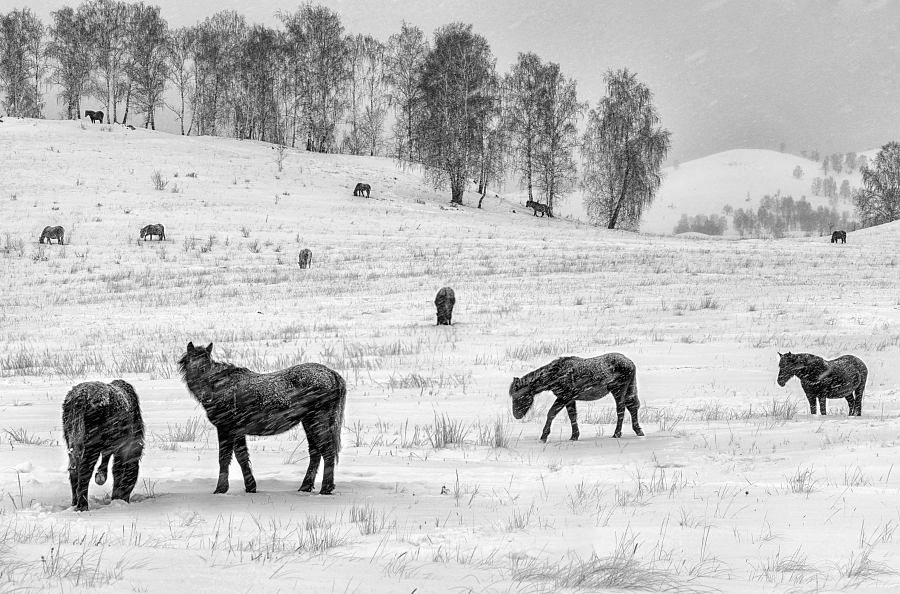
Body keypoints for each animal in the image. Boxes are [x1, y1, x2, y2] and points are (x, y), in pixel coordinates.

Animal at [62, 380, 144, 511]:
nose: (125, 499)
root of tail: (80, 397)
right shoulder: (121, 449)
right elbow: (117, 472)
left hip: (72, 440)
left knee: (73, 471)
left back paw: (75, 504)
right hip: (91, 446)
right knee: (84, 472)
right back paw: (82, 506)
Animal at [178, 342, 346, 495]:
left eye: (207, 366)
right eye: (194, 367)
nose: (206, 395)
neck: (222, 387)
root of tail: (332, 374)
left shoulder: (225, 428)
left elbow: (224, 459)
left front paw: (220, 489)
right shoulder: (237, 431)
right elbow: (242, 457)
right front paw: (250, 487)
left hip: (317, 420)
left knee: (327, 451)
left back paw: (325, 488)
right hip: (309, 422)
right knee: (315, 452)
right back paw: (305, 487)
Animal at [510, 353, 643, 441]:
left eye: (519, 397)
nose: (516, 415)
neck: (555, 375)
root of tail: (630, 363)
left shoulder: (564, 397)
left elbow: (551, 413)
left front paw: (544, 436)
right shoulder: (570, 399)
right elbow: (572, 416)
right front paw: (574, 436)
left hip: (618, 390)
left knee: (621, 409)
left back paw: (617, 433)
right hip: (629, 388)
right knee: (632, 407)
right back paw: (638, 430)